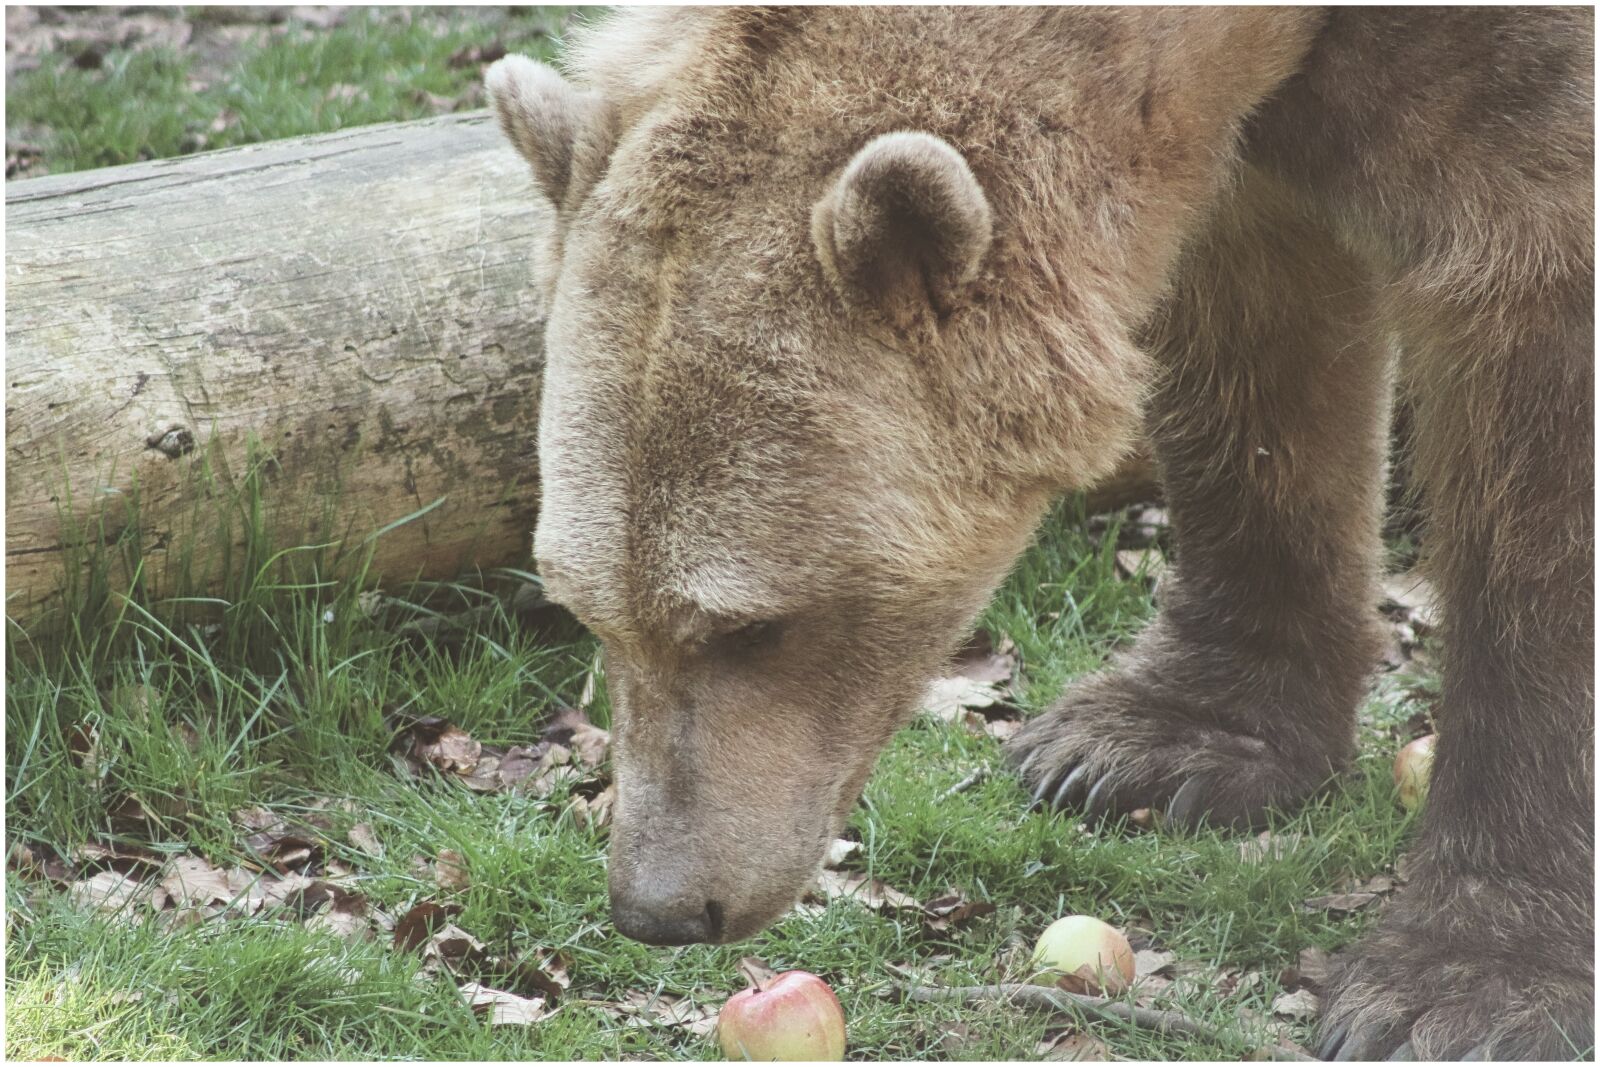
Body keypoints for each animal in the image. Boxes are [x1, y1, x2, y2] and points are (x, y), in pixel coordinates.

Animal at [485, 7, 1593, 1059]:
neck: (1273, 22)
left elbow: (1538, 465)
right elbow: (1257, 354)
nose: (661, 904)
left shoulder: (1518, 109)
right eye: (588, 608)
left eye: (750, 625)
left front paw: (1468, 978)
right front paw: (1152, 741)